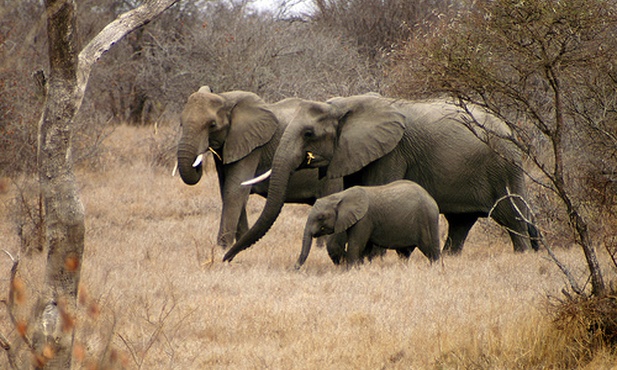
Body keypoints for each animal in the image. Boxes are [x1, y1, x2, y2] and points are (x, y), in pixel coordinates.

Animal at [176, 86, 340, 247]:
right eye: (181, 123)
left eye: (212, 125)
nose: (198, 164)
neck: (225, 98)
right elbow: (227, 189)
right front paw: (244, 243)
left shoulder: (253, 145)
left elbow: (234, 189)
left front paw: (223, 247)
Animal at [296, 178, 440, 268]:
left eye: (320, 217)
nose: (295, 268)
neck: (340, 196)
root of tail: (431, 198)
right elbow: (364, 248)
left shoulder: (364, 219)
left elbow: (356, 245)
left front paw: (350, 270)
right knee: (404, 252)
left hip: (427, 219)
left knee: (431, 250)